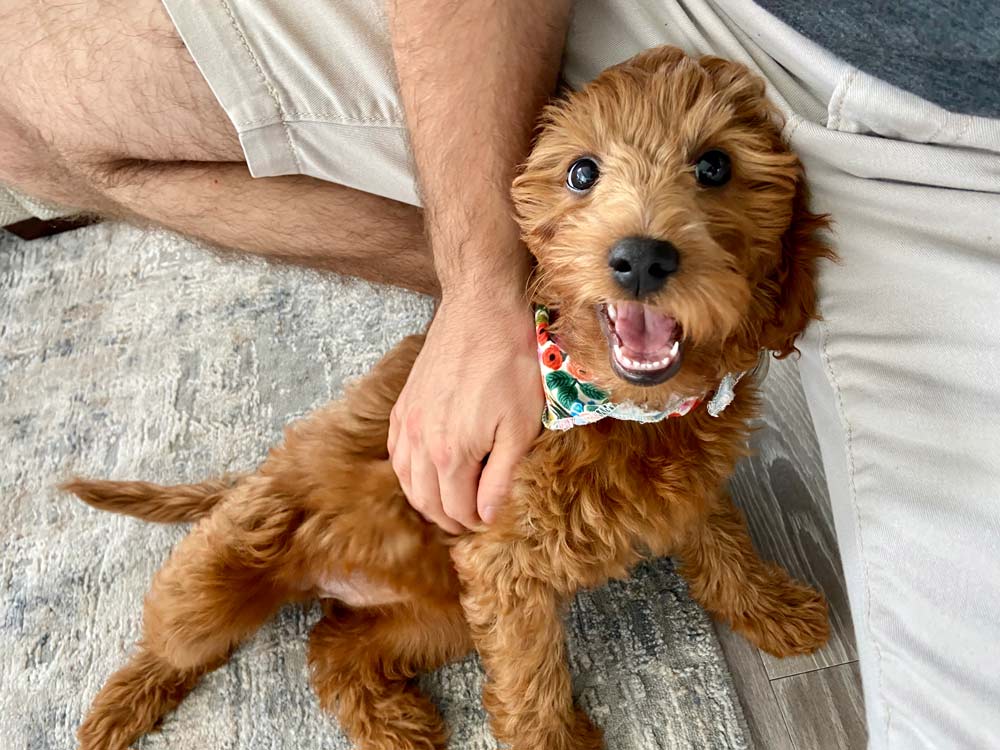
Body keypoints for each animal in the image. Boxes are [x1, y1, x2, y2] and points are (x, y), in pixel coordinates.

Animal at [68, 45, 828, 750]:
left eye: (715, 167)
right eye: (582, 172)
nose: (640, 257)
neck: (619, 409)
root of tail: (254, 476)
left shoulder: (685, 487)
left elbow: (723, 539)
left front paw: (770, 606)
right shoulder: (502, 565)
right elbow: (529, 672)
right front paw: (554, 739)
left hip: (438, 619)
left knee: (335, 648)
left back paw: (395, 724)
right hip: (224, 575)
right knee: (173, 642)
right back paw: (118, 709)